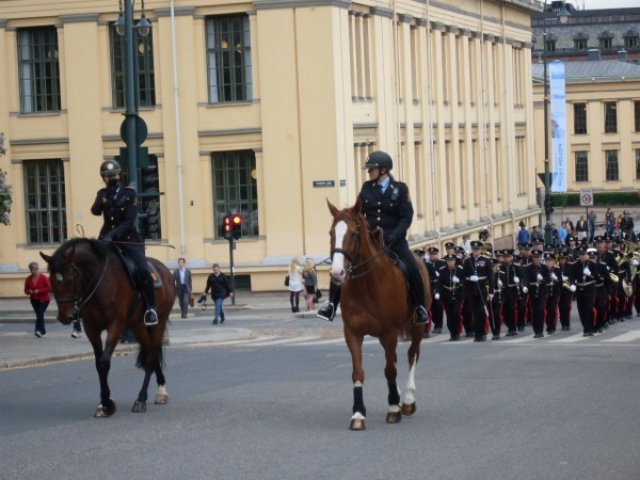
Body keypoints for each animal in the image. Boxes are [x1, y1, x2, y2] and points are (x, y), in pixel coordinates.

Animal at [40, 239, 175, 416]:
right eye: (51, 281)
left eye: (69, 280)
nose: (65, 317)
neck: (101, 281)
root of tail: (165, 270)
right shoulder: (91, 328)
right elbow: (98, 363)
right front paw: (105, 402)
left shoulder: (116, 325)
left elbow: (104, 362)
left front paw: (106, 403)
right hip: (137, 326)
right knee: (149, 352)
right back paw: (160, 390)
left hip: (158, 324)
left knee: (151, 356)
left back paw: (142, 398)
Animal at [330, 199, 430, 432]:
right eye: (331, 233)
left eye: (354, 233)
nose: (337, 273)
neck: (365, 284)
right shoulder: (352, 332)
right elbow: (358, 372)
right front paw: (358, 414)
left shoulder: (389, 333)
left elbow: (390, 370)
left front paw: (394, 408)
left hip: (417, 327)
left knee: (412, 355)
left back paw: (407, 400)